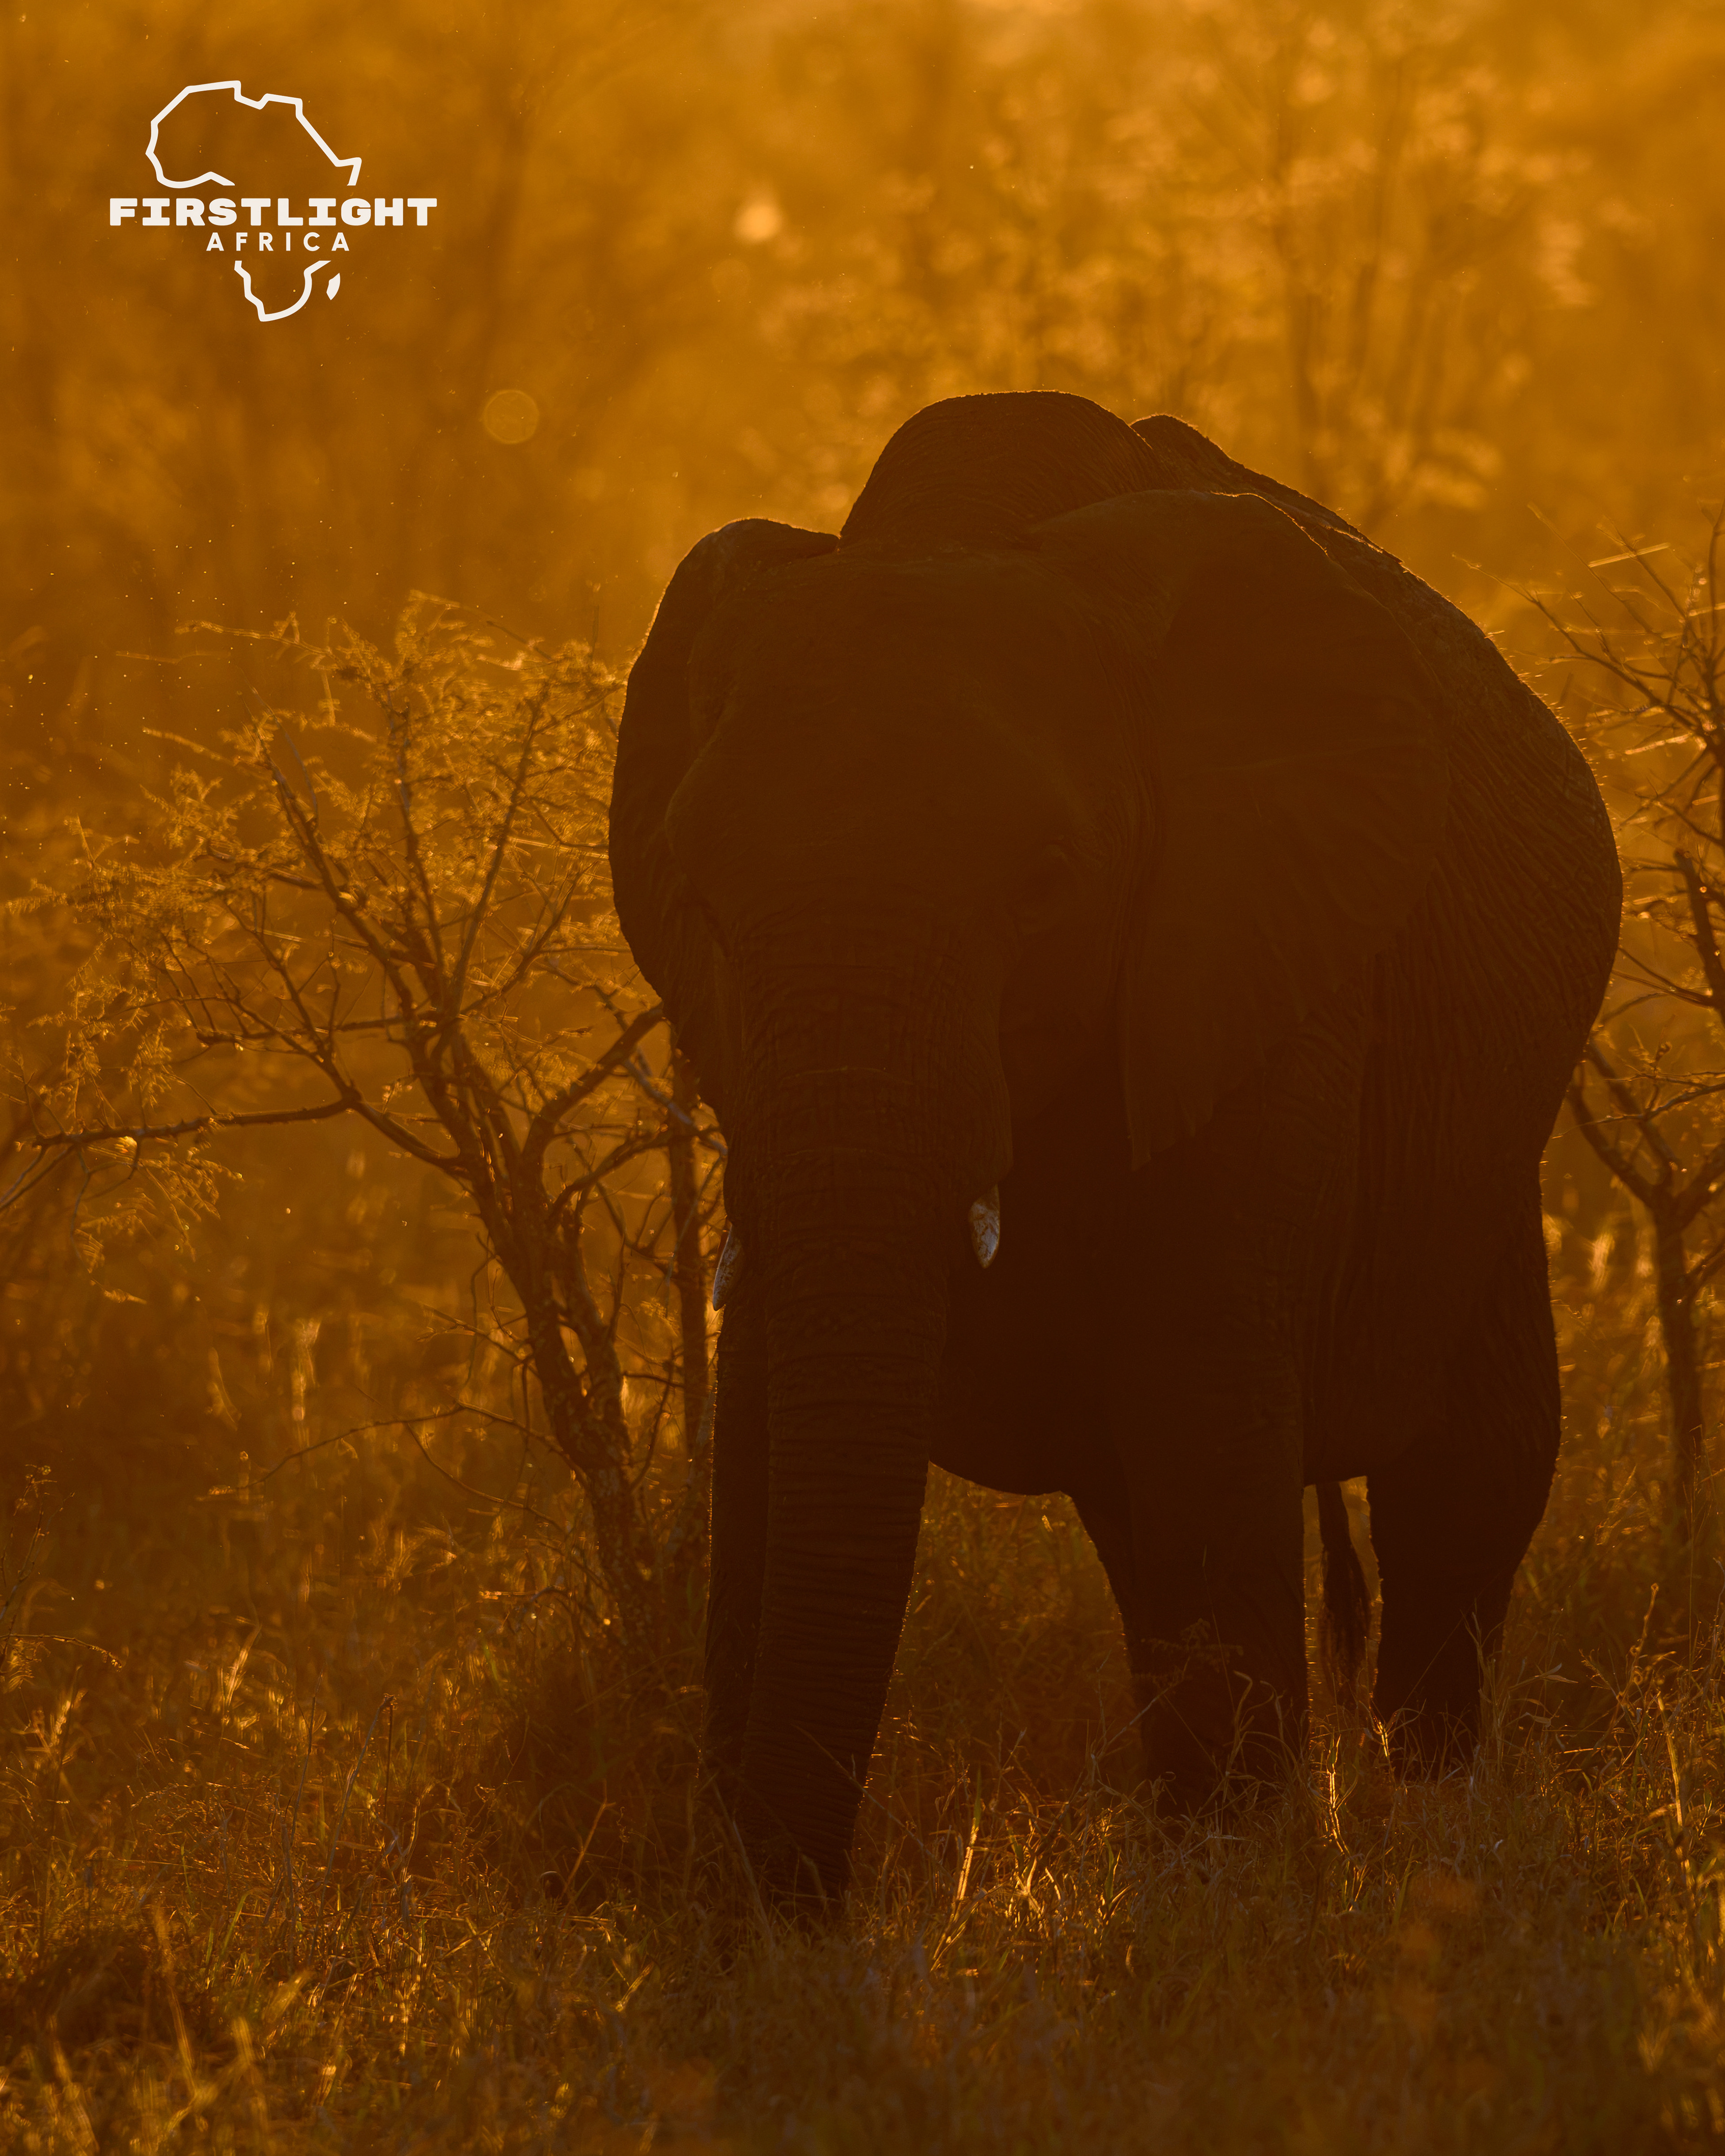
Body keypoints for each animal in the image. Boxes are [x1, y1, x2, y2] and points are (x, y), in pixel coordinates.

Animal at [607, 390, 1621, 1903]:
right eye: (699, 895)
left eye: (1045, 886)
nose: (800, 1909)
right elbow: (775, 1404)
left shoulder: (1258, 954)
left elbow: (1203, 1387)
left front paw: (1239, 1906)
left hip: (1491, 1128)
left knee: (1463, 1484)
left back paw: (1434, 1842)